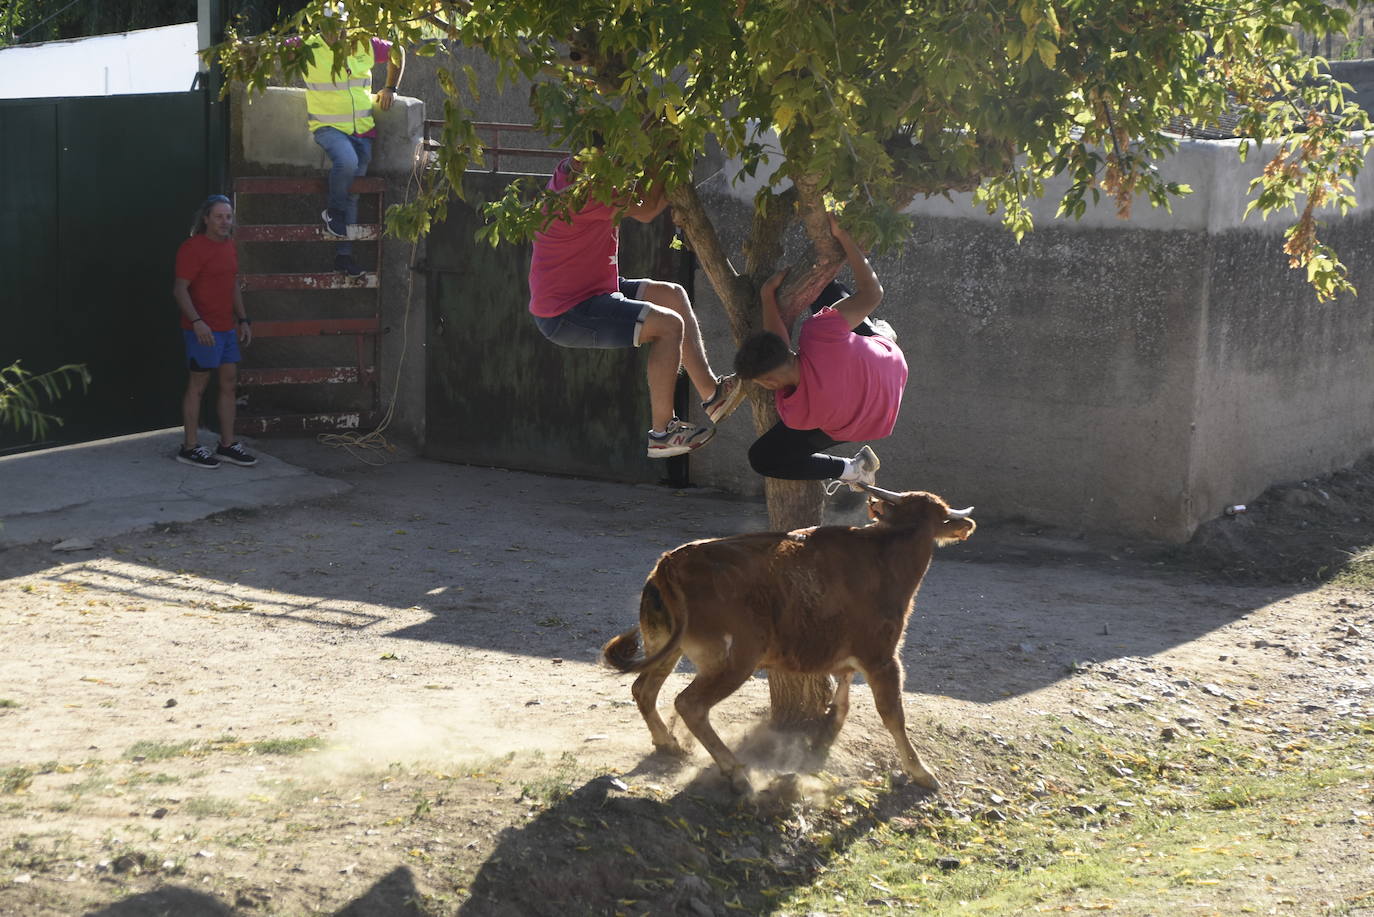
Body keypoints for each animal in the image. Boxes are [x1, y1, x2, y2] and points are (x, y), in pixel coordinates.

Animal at [604, 486, 978, 797]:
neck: (886, 554)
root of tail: (672, 563)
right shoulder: (883, 657)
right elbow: (892, 714)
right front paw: (921, 772)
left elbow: (843, 694)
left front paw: (827, 730)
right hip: (733, 660)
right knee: (689, 704)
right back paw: (737, 773)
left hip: (666, 647)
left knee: (644, 689)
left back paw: (669, 743)